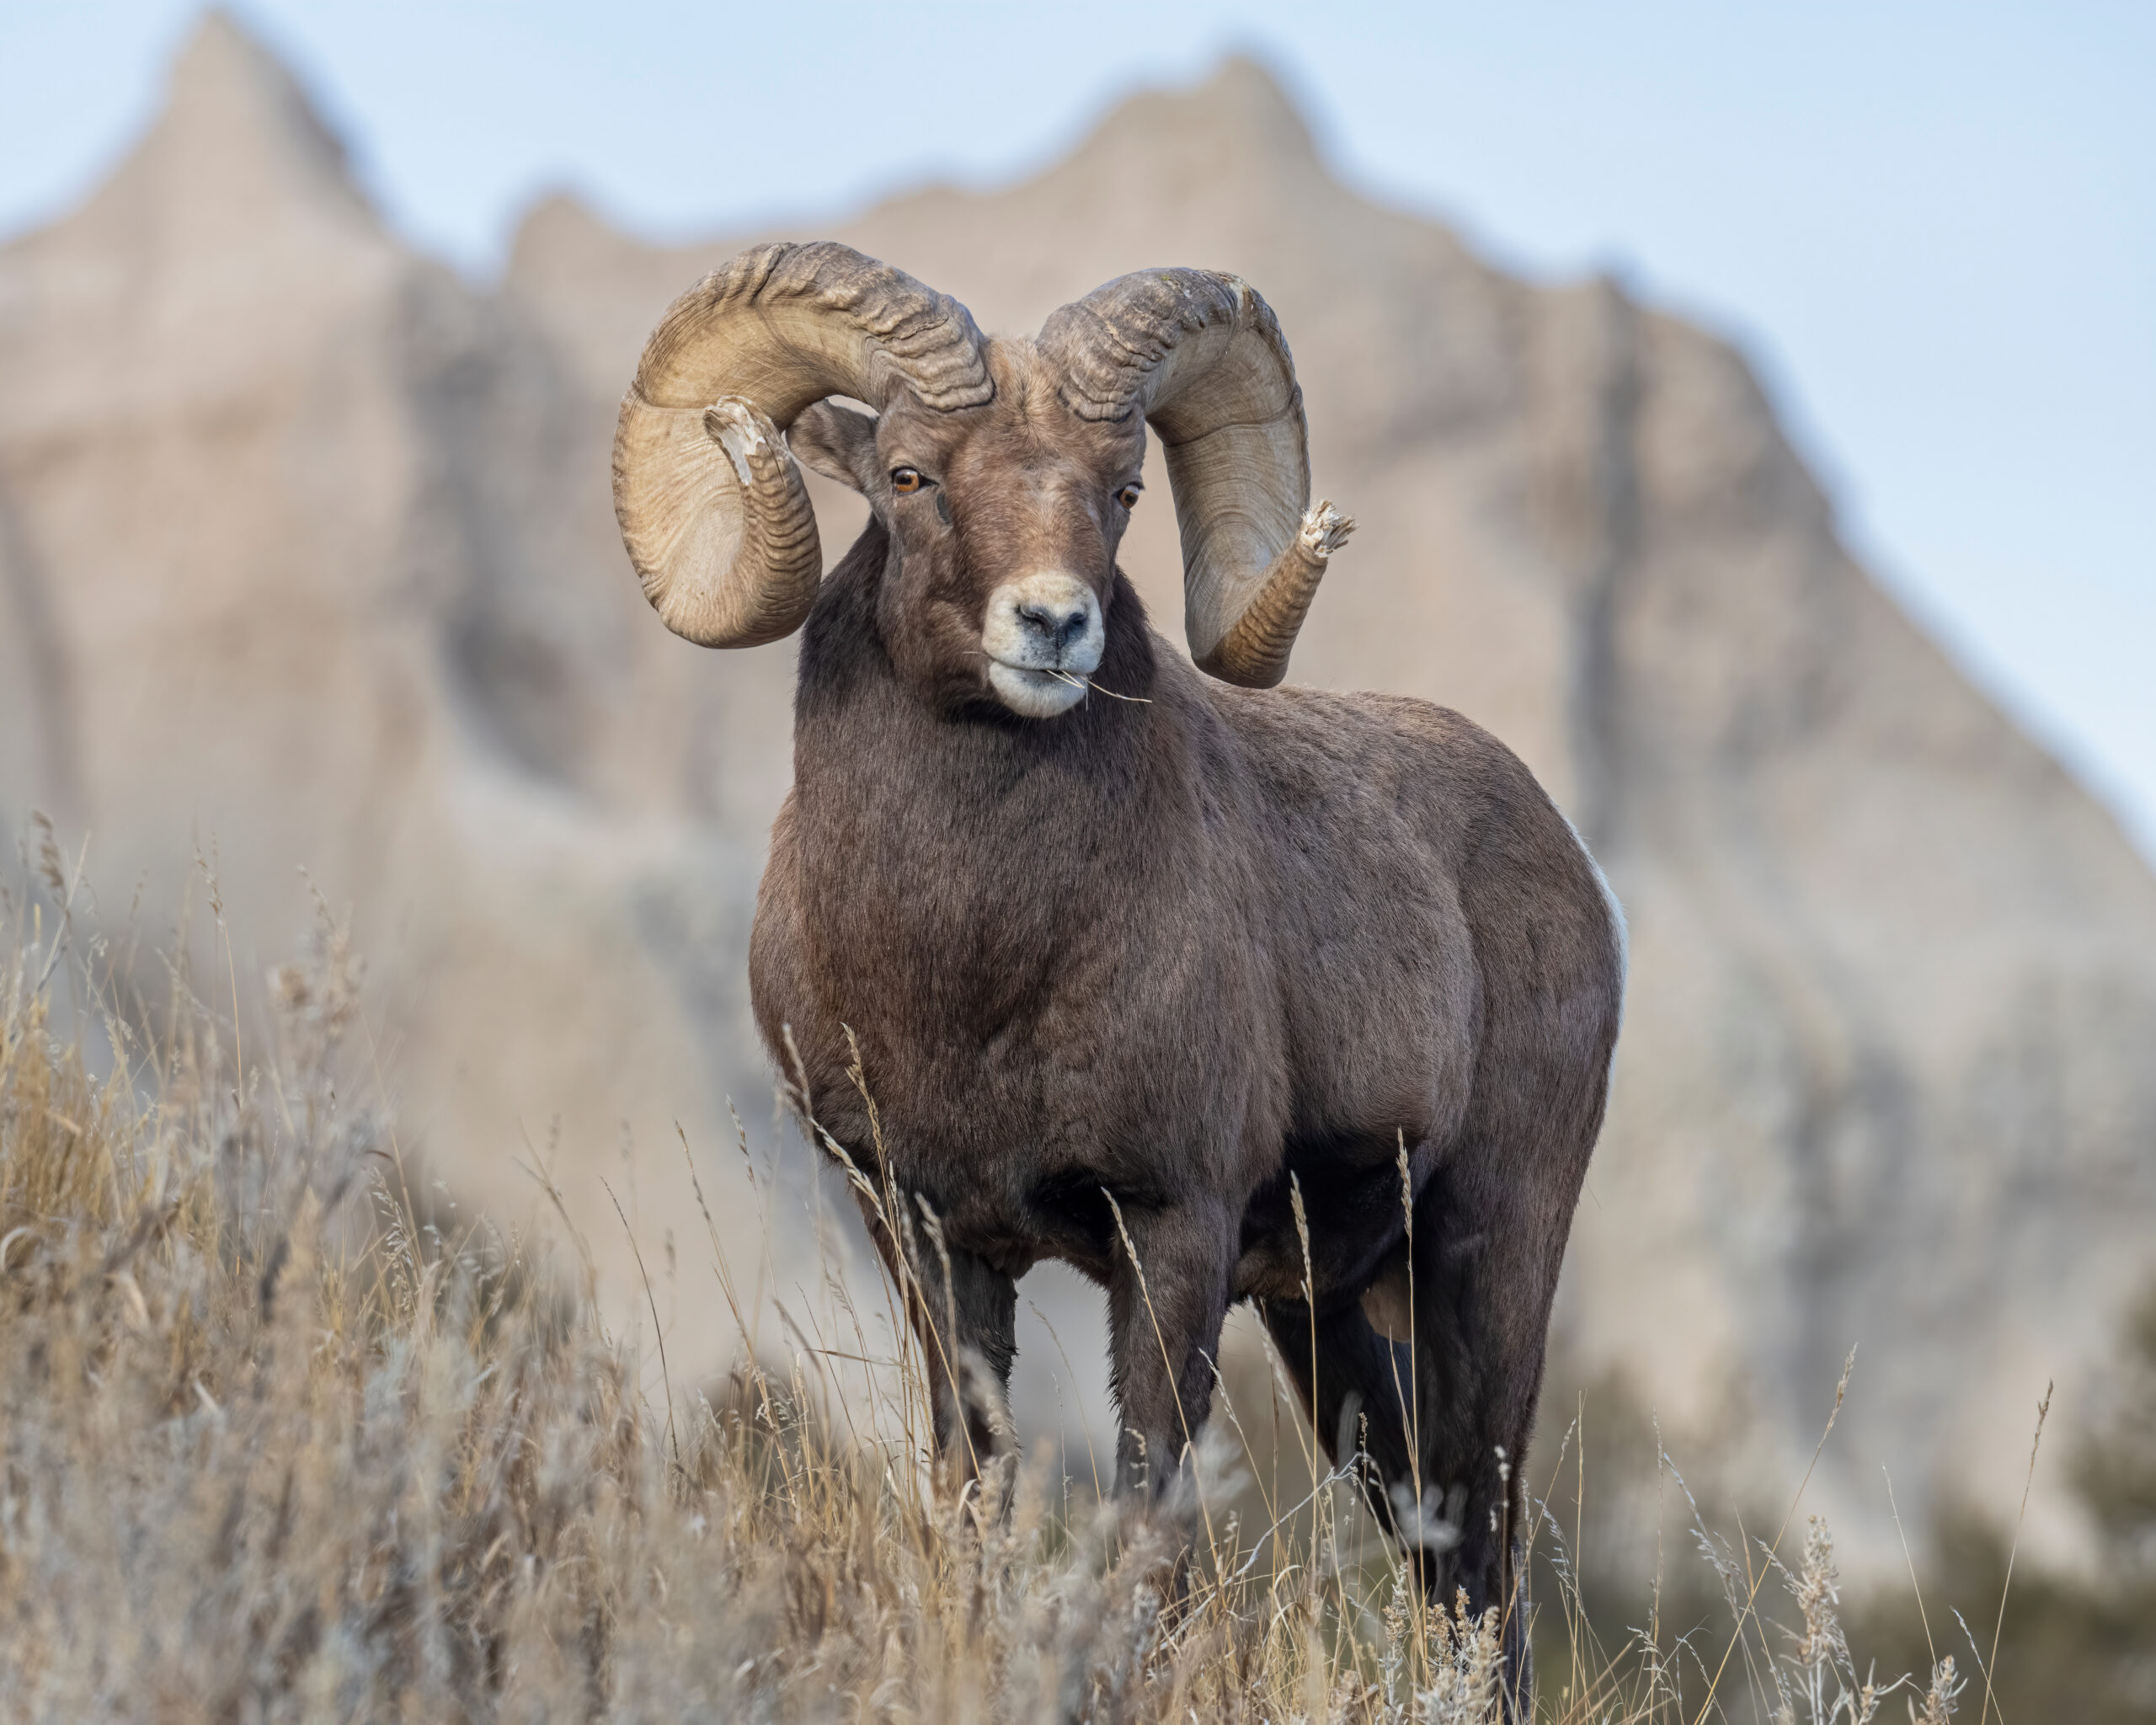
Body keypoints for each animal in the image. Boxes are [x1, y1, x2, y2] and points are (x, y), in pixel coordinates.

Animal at [612, 242, 1626, 1686]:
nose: (1053, 625)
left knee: (1483, 1556)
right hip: (1329, 1318)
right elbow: (974, 1487)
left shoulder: (1174, 1232)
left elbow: (1152, 1516)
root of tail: (1575, 873)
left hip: (1491, 1258)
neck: (974, 976)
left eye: (1123, 490)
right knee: (1437, 1543)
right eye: (909, 475)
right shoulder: (927, 1233)